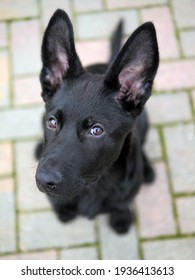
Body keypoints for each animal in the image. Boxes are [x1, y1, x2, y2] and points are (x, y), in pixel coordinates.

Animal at [35, 9, 158, 234]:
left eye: (96, 130)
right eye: (52, 122)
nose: (43, 180)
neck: (93, 188)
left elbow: (121, 205)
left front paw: (121, 217)